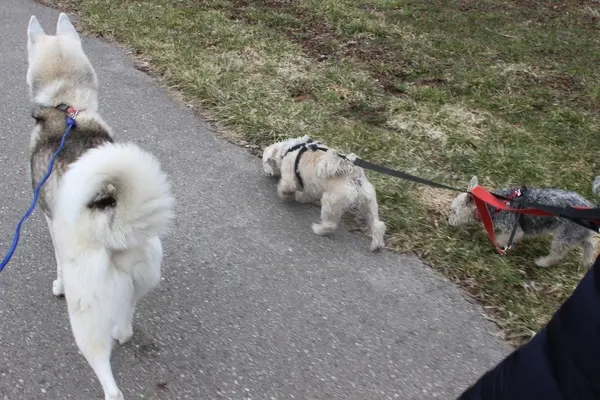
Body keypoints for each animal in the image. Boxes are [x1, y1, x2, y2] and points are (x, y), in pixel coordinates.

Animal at [27, 13, 175, 400]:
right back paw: (123, 331)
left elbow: (58, 262)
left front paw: (58, 285)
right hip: (143, 276)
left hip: (86, 315)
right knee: (127, 316)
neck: (66, 106)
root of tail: (114, 227)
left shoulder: (51, 221)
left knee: (106, 374)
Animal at [448, 177, 596, 268]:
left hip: (566, 234)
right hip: (578, 233)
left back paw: (542, 262)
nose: (447, 220)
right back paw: (586, 261)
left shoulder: (514, 228)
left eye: (454, 211)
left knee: (557, 253)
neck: (493, 204)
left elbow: (504, 238)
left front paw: (501, 245)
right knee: (590, 244)